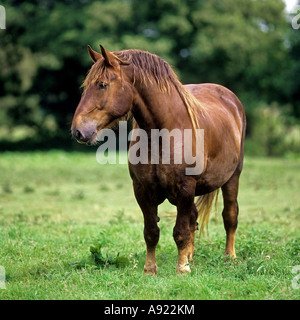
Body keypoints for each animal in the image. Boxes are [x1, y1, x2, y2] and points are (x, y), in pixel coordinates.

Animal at [71, 44, 246, 276]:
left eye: (102, 85)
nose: (78, 131)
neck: (164, 133)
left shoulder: (185, 187)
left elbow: (180, 231)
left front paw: (182, 268)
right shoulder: (142, 190)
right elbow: (151, 232)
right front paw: (150, 269)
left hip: (233, 177)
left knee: (230, 216)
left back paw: (229, 257)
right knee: (194, 218)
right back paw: (191, 256)